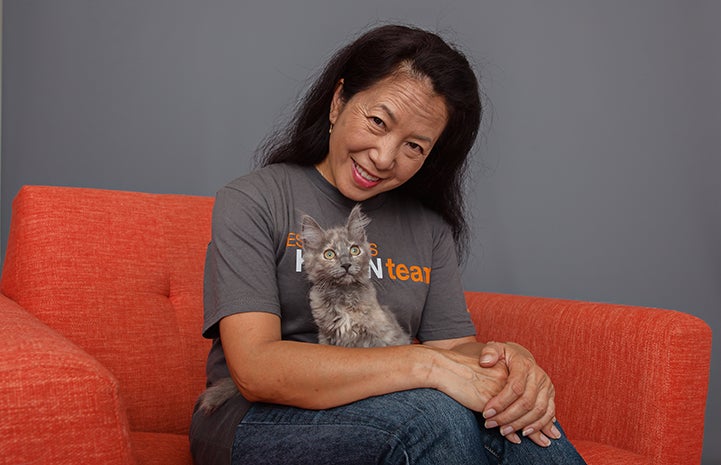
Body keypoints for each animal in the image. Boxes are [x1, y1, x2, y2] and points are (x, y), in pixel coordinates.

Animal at [197, 204, 408, 414]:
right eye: (329, 254)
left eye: (354, 250)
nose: (346, 264)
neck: (342, 296)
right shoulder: (327, 336)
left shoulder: (383, 335)